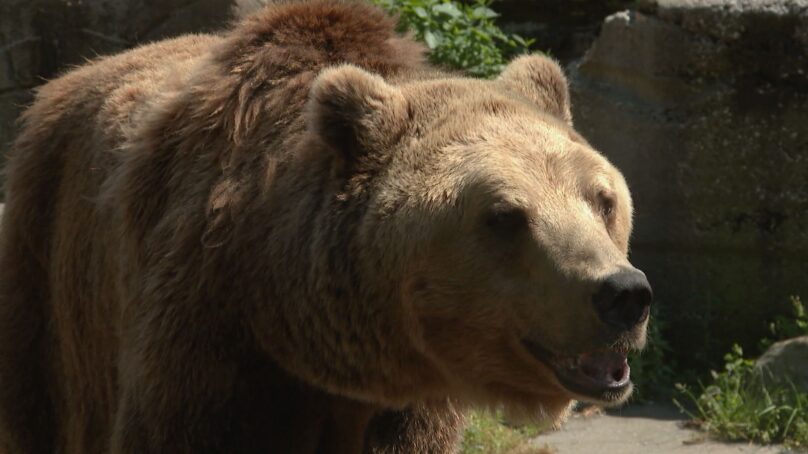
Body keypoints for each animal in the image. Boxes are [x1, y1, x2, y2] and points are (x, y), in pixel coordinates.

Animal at [0, 1, 652, 452]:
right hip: (48, 279)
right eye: (505, 216)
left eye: (601, 201)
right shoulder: (205, 345)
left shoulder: (403, 410)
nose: (623, 293)